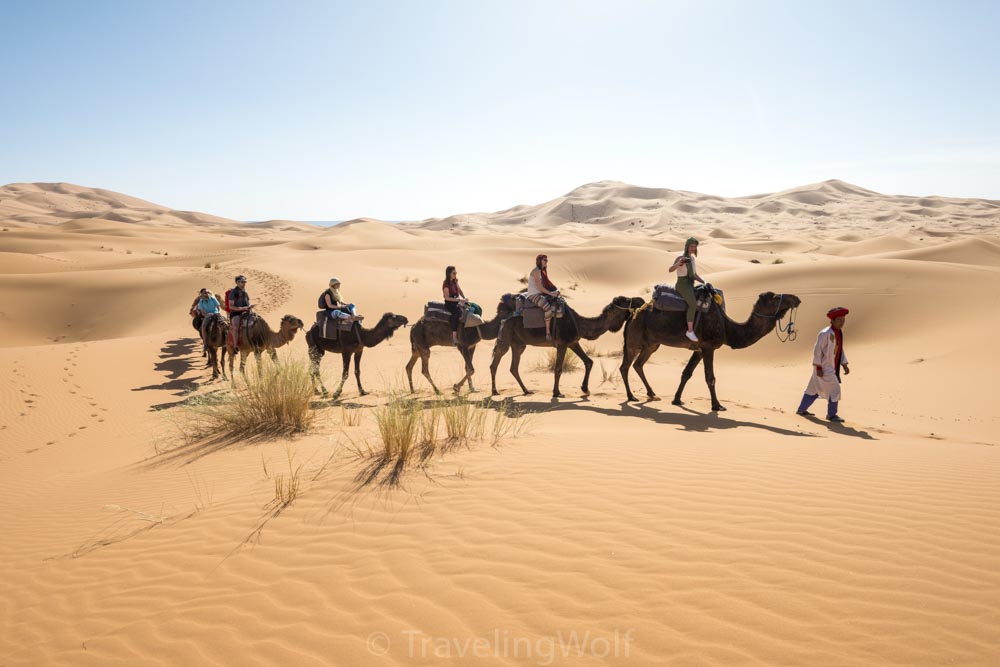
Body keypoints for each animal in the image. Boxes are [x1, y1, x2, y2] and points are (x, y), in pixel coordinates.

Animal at [490, 298, 644, 402]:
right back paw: (495, 391)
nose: (640, 300)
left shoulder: (573, 342)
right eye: (626, 300)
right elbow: (558, 368)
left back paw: (527, 390)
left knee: (513, 367)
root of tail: (503, 316)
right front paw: (557, 392)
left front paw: (585, 389)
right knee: (495, 363)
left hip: (518, 344)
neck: (581, 324)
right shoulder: (562, 344)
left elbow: (589, 362)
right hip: (505, 338)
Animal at [620, 290, 800, 410]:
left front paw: (677, 400)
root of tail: (631, 315)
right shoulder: (708, 347)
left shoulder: (699, 349)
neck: (728, 328)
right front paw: (717, 405)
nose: (796, 298)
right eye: (775, 298)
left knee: (638, 364)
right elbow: (710, 378)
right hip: (634, 340)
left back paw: (651, 393)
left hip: (652, 344)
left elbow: (686, 373)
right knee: (625, 366)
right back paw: (631, 396)